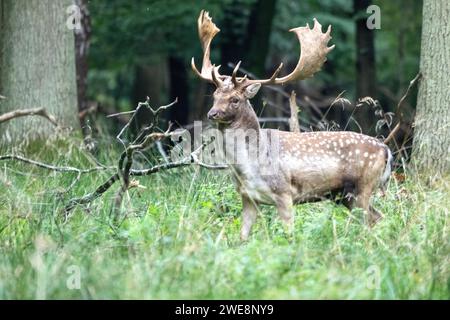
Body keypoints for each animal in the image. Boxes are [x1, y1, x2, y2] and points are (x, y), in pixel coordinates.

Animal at [192, 10, 392, 240]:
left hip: (363, 186)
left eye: (235, 99)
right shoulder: (248, 196)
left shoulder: (284, 193)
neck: (248, 166)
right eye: (215, 95)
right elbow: (242, 237)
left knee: (372, 218)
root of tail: (387, 150)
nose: (212, 113)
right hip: (345, 195)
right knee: (377, 218)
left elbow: (289, 235)